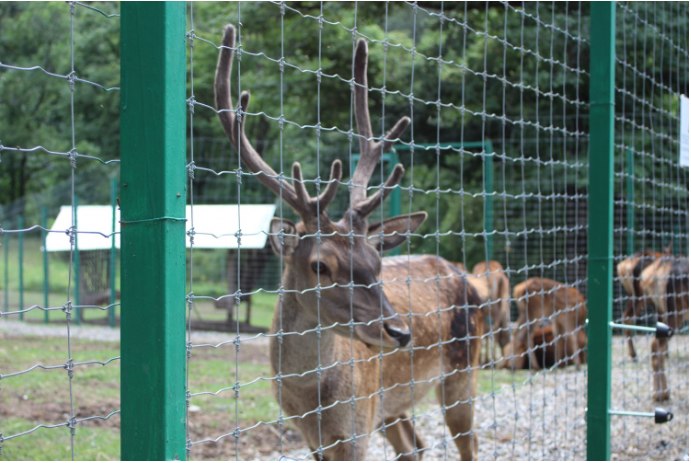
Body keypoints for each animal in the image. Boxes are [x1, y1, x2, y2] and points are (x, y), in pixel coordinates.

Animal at [215, 25, 483, 460]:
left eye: (376, 260)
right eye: (320, 265)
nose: (401, 332)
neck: (312, 402)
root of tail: (464, 275)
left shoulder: (356, 427)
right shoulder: (313, 438)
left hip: (463, 368)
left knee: (468, 444)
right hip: (392, 404)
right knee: (414, 446)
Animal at [639, 254, 688, 402]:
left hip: (663, 314)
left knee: (656, 346)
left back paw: (663, 393)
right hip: (675, 311)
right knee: (656, 346)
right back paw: (660, 394)